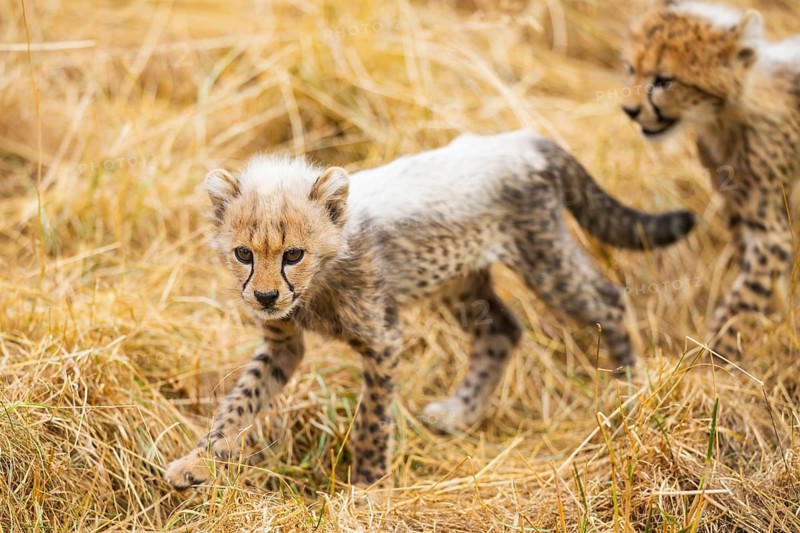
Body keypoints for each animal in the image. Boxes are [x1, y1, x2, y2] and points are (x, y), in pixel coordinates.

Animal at [164, 129, 695, 490]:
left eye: (293, 254)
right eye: (244, 254)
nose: (266, 297)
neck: (319, 280)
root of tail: (520, 138)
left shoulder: (382, 340)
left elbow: (374, 419)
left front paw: (368, 487)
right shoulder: (283, 344)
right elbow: (239, 401)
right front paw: (197, 462)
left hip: (544, 261)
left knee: (609, 299)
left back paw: (632, 392)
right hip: (459, 278)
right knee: (502, 329)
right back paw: (461, 413)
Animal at [622, 0, 800, 358]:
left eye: (664, 80)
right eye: (630, 68)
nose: (629, 110)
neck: (725, 118)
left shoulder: (770, 231)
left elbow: (743, 298)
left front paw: (716, 358)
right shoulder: (739, 214)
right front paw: (773, 319)